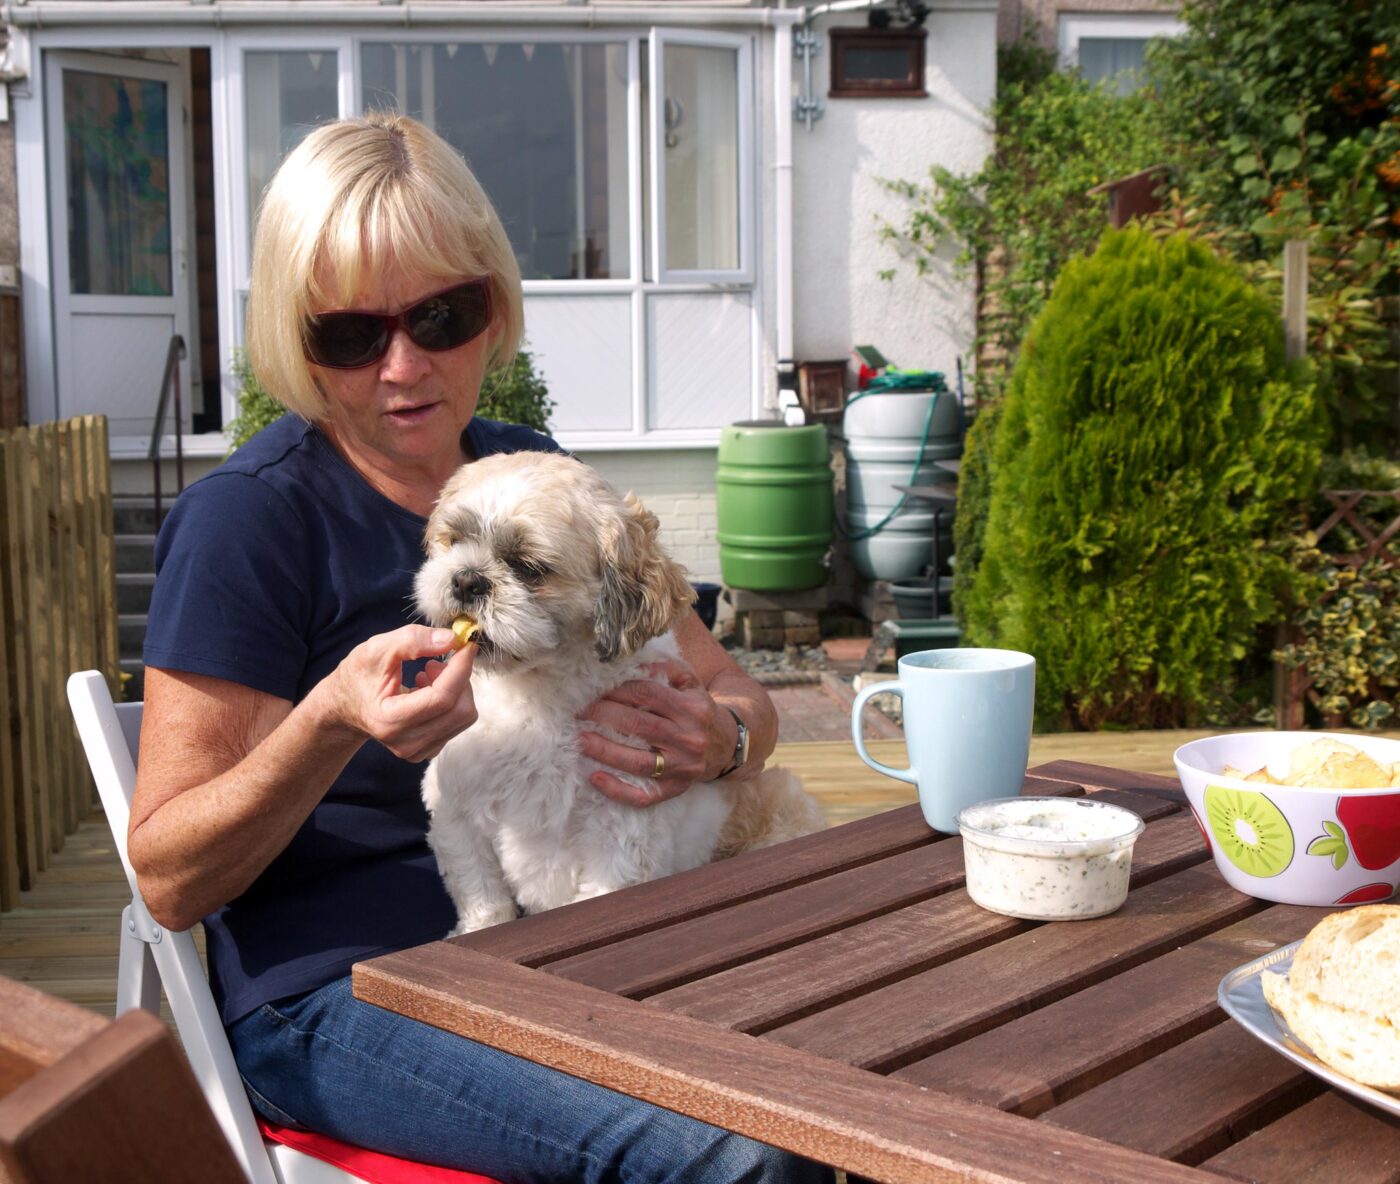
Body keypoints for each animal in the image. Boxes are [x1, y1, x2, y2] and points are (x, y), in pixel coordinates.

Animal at [408, 453, 823, 934]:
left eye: (529, 568)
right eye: (454, 540)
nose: (466, 580)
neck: (542, 697)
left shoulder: (619, 825)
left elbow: (602, 893)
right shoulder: (458, 814)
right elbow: (483, 897)